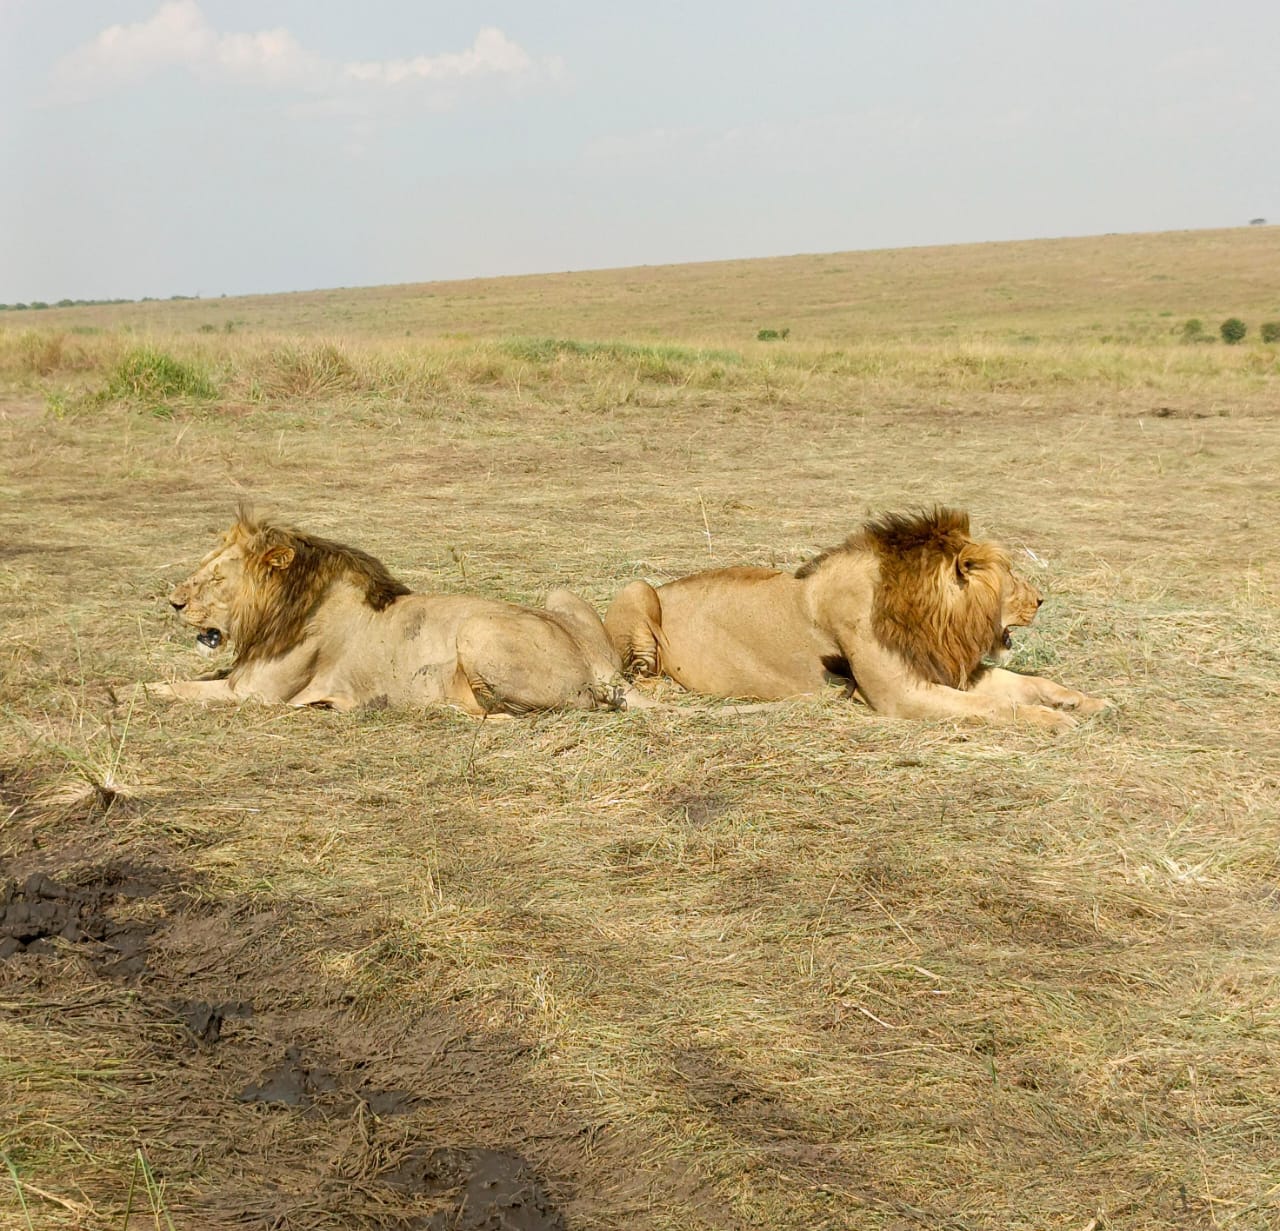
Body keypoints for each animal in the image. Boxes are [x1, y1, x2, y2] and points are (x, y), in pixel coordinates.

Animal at [147, 511, 637, 721]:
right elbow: (200, 677)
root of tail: (600, 665)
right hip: (560, 596)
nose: (174, 602)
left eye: (217, 577)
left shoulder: (257, 694)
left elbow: (186, 690)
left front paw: (139, 692)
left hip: (476, 629)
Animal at [599, 506, 1111, 726]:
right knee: (637, 669)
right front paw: (1052, 721)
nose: (1041, 599)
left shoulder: (942, 669)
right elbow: (996, 706)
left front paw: (1083, 702)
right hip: (637, 588)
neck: (928, 616)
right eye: (1011, 574)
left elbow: (1025, 682)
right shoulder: (899, 695)